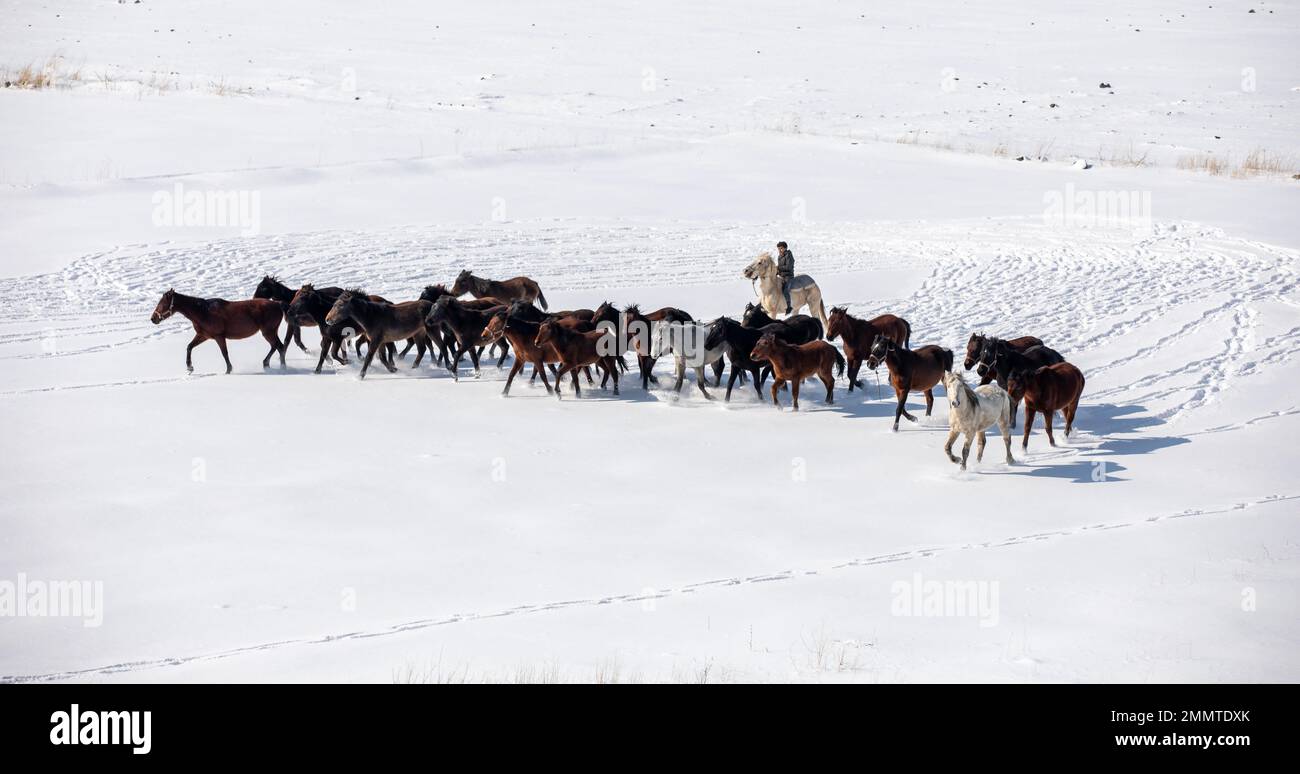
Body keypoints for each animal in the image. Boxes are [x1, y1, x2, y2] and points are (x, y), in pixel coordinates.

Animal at [150, 291, 286, 374]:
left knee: (279, 346)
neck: (203, 312)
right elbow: (189, 347)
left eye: (162, 303)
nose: (153, 319)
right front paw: (190, 367)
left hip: (268, 332)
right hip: (271, 332)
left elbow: (224, 353)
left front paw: (228, 370)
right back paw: (271, 365)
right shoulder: (203, 336)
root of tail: (278, 304)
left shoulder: (219, 336)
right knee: (277, 346)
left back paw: (280, 367)